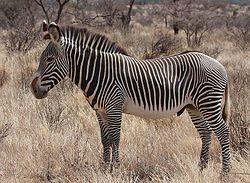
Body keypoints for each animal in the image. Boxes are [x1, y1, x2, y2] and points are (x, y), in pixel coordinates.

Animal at [30, 21, 230, 176]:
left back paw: (225, 172)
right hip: (194, 107)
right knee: (206, 133)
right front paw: (104, 168)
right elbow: (105, 139)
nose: (33, 89)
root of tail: (219, 64)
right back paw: (202, 169)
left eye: (49, 59)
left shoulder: (114, 107)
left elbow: (115, 137)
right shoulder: (100, 111)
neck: (99, 72)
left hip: (208, 103)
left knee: (223, 132)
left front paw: (115, 169)